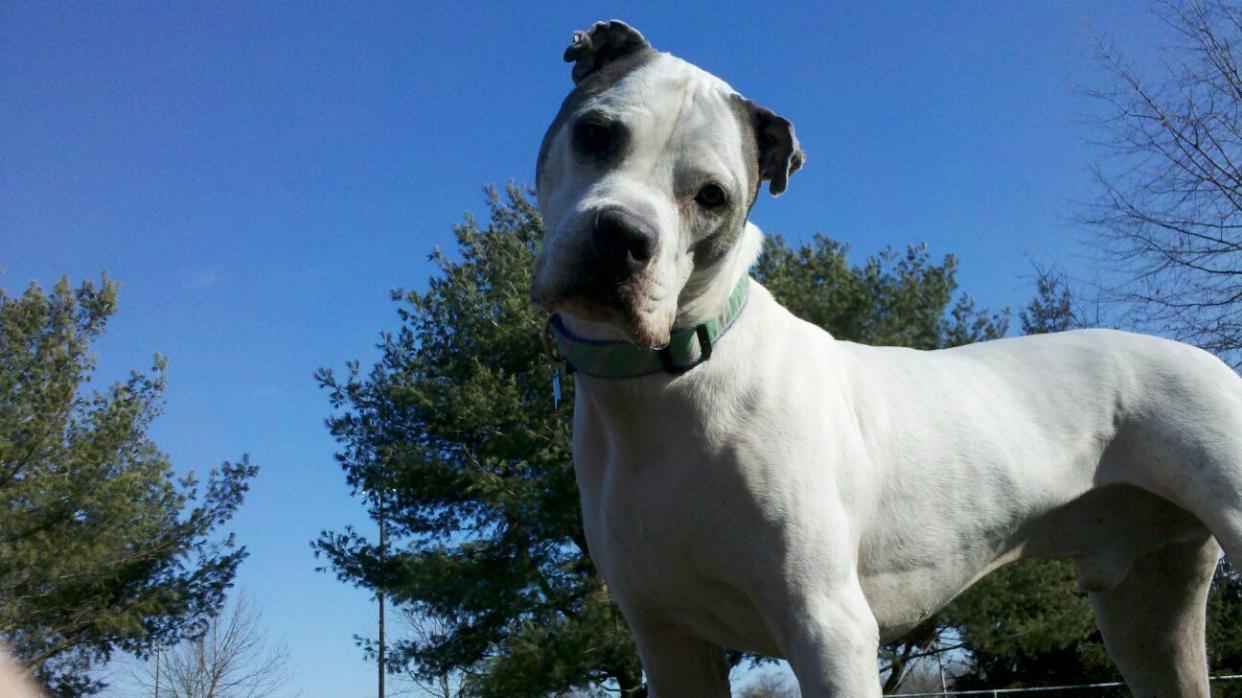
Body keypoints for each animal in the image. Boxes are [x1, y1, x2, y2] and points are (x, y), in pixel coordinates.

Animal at [529, 19, 1242, 690]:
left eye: (712, 196)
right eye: (595, 133)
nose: (621, 236)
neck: (667, 382)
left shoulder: (828, 628)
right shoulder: (669, 644)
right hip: (1147, 612)